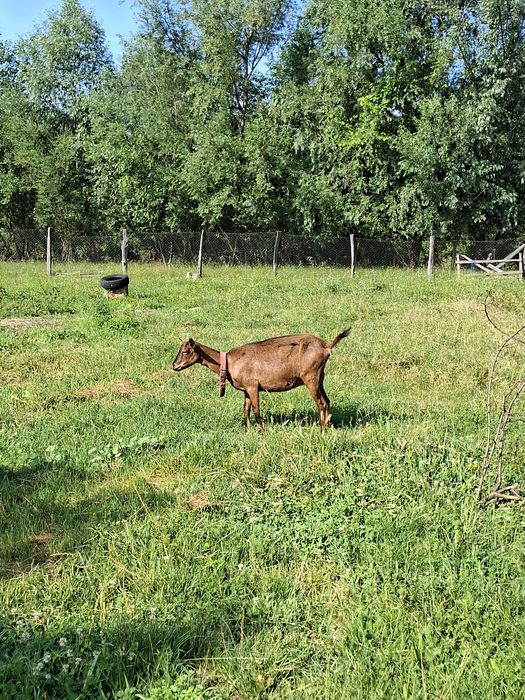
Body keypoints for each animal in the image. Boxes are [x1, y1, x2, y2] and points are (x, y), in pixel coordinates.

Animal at [172, 328, 350, 428]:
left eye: (186, 351)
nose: (174, 366)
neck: (229, 362)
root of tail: (325, 346)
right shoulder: (246, 389)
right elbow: (246, 410)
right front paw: (247, 429)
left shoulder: (253, 386)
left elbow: (257, 411)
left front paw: (261, 431)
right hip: (320, 377)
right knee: (327, 401)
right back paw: (328, 426)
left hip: (311, 377)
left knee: (321, 403)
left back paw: (321, 429)